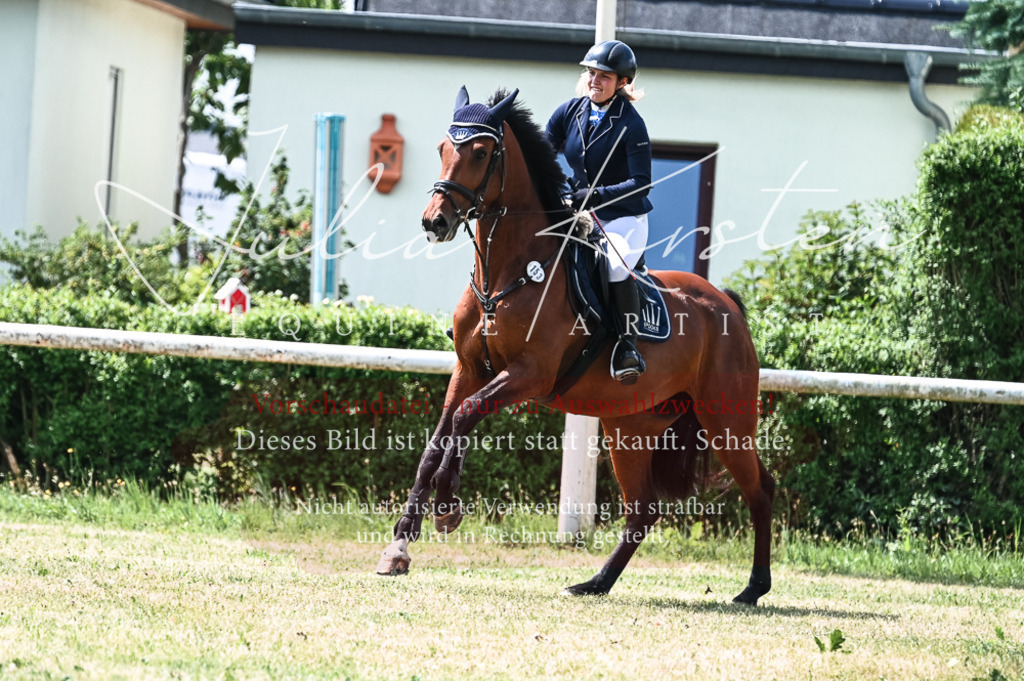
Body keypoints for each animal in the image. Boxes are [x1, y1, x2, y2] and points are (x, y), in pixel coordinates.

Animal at [376, 87, 775, 605]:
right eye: (443, 148)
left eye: (481, 152)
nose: (434, 222)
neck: (508, 272)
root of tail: (726, 303)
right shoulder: (470, 368)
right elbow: (438, 440)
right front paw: (400, 544)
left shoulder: (529, 374)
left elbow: (466, 416)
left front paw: (447, 507)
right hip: (630, 425)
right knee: (643, 510)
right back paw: (595, 583)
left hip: (726, 420)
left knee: (759, 490)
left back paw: (754, 587)